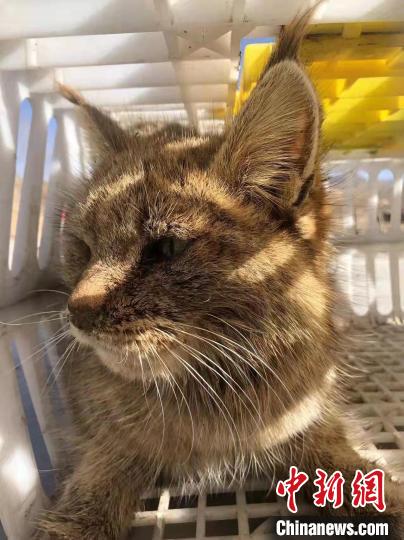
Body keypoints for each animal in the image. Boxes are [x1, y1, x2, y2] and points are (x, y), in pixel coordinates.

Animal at [36, 6, 403, 539]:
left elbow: (347, 466)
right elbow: (91, 488)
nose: (76, 313)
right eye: (82, 249)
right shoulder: (101, 437)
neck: (212, 390)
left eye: (166, 248)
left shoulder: (311, 415)